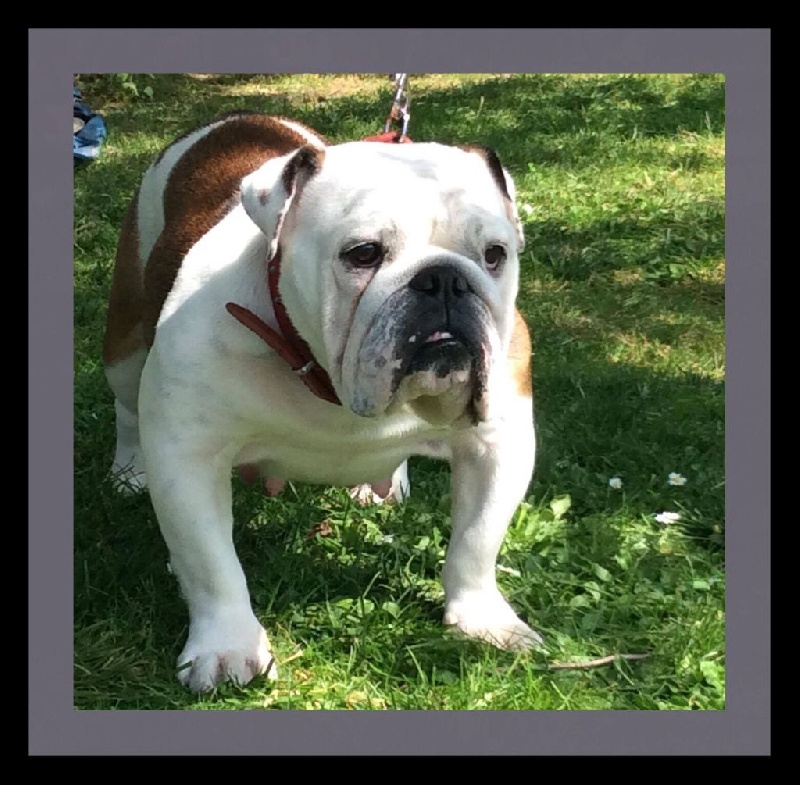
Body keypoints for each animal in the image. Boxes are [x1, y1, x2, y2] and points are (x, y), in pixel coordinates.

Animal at [102, 111, 541, 692]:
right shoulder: (186, 456)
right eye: (363, 254)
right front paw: (227, 647)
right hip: (125, 342)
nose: (444, 278)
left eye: (494, 255)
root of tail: (239, 119)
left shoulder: (499, 444)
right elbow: (211, 564)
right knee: (127, 408)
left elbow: (477, 540)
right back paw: (129, 472)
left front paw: (482, 618)